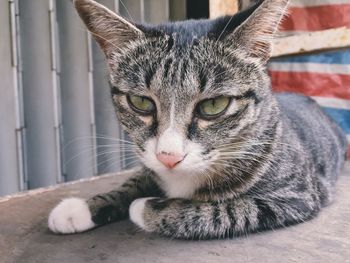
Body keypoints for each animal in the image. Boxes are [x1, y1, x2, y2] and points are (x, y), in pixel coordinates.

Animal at [47, 0, 348, 239]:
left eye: (213, 105)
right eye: (141, 102)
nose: (168, 156)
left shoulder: (295, 197)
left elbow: (224, 211)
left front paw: (144, 207)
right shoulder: (149, 163)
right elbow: (134, 180)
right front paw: (80, 208)